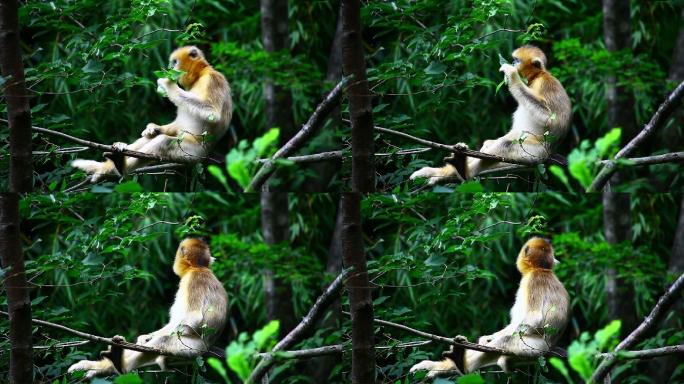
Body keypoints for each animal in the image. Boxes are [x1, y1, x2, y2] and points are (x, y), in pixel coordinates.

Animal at [68, 238, 227, 376]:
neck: (198, 268)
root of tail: (207, 347)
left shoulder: (194, 280)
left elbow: (192, 318)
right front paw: (145, 337)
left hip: (191, 348)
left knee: (163, 341)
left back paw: (120, 365)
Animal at [71, 46, 232, 182]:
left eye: (175, 62)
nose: (170, 68)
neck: (200, 75)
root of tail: (206, 154)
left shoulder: (213, 80)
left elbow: (212, 113)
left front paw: (166, 84)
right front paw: (153, 127)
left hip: (191, 153)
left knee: (163, 142)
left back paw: (121, 168)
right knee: (150, 138)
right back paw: (111, 163)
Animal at [412, 45, 572, 184]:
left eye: (517, 60)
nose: (512, 63)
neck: (535, 78)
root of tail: (549, 154)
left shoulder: (545, 83)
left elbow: (550, 119)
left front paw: (512, 75)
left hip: (534, 153)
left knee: (505, 144)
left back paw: (464, 171)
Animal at [412, 237, 572, 378]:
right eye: (553, 254)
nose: (556, 260)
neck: (541, 269)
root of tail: (550, 347)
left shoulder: (534, 280)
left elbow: (533, 318)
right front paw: (486, 338)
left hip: (534, 348)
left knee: (505, 341)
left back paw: (461, 364)